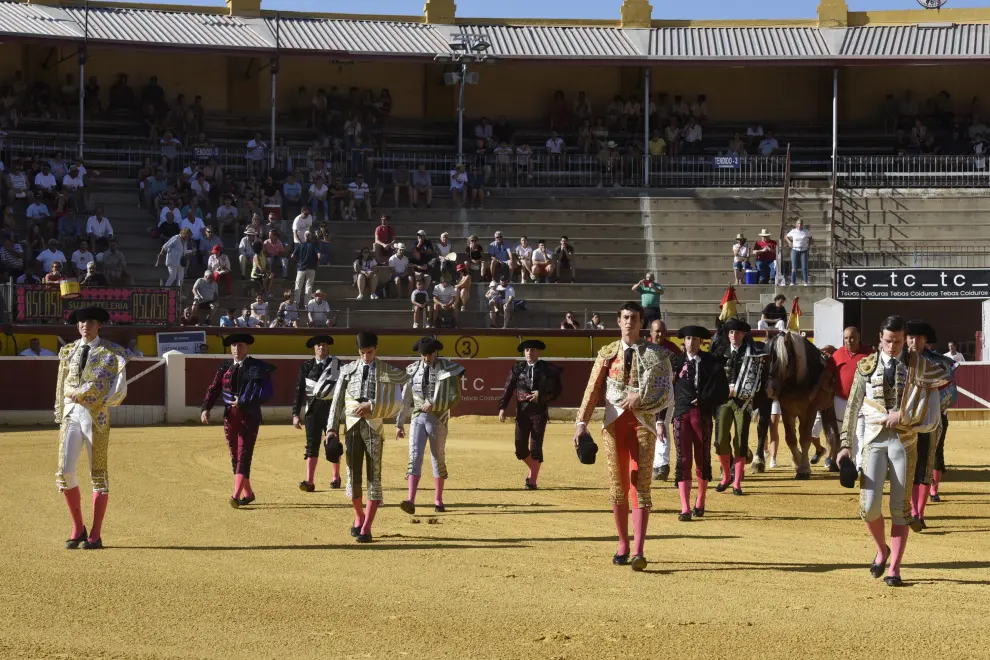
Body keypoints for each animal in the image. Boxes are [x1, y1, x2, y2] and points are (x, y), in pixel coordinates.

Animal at [768, 330, 836, 480]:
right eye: (767, 358)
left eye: (784, 359)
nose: (771, 389)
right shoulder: (787, 411)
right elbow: (791, 438)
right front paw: (798, 462)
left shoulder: (809, 411)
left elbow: (805, 438)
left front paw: (804, 469)